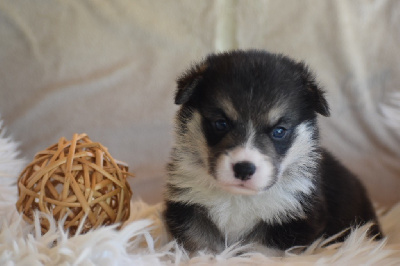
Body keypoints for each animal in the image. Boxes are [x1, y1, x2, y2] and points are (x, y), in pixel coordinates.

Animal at [162, 50, 382, 254]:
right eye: (221, 123)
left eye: (279, 131)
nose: (244, 169)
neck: (239, 197)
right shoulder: (188, 206)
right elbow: (200, 244)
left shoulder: (293, 219)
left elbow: (260, 251)